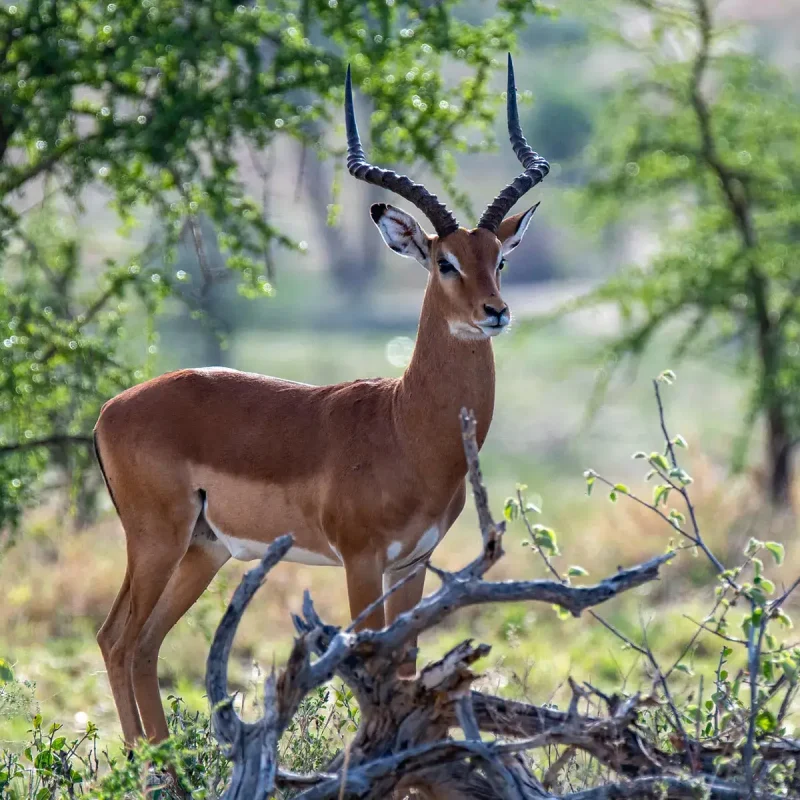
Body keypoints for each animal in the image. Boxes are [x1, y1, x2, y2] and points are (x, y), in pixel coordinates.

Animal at [94, 54, 549, 747]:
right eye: (444, 261)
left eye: (498, 258)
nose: (495, 312)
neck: (406, 426)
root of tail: (110, 410)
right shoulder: (359, 562)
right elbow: (371, 665)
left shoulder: (413, 563)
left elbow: (406, 668)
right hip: (156, 540)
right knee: (117, 640)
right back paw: (147, 761)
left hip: (204, 549)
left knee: (144, 646)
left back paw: (165, 756)